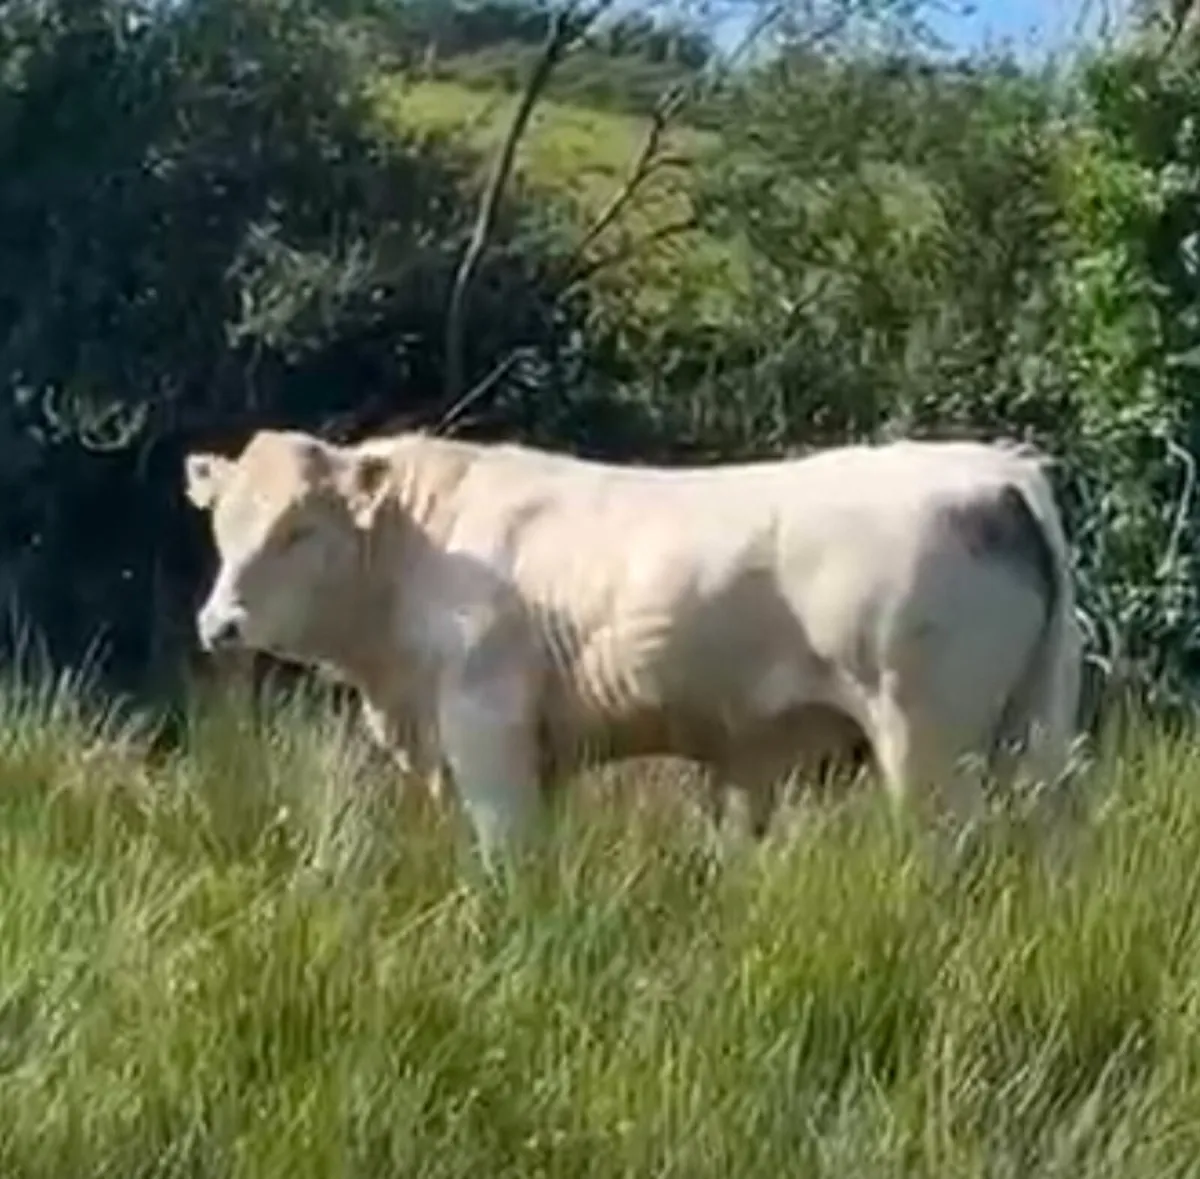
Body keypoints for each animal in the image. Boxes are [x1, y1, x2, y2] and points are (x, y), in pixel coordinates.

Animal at [183, 428, 1082, 871]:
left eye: (300, 528)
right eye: (221, 519)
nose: (218, 623)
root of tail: (995, 470)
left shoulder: (485, 727)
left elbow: (508, 859)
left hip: (927, 744)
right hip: (1030, 738)